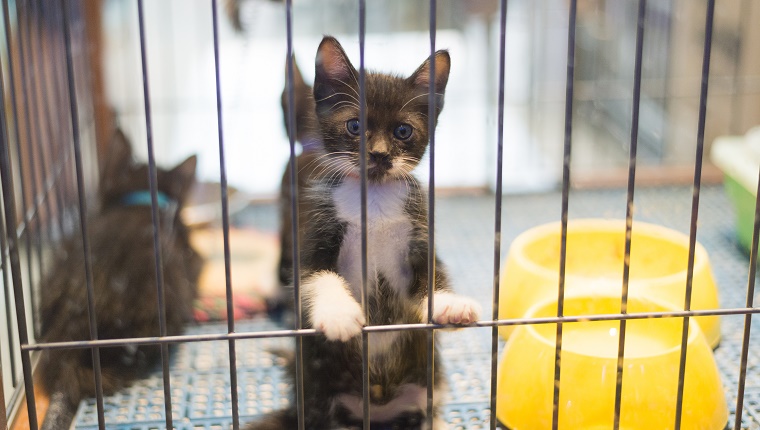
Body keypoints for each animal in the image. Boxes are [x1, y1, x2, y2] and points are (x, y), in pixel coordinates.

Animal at [246, 37, 478, 430]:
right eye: (355, 126)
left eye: (403, 131)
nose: (380, 154)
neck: (374, 200)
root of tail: (378, 411)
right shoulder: (316, 236)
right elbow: (316, 277)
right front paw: (340, 315)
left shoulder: (419, 235)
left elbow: (432, 273)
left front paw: (450, 305)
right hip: (318, 402)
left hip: (427, 388)